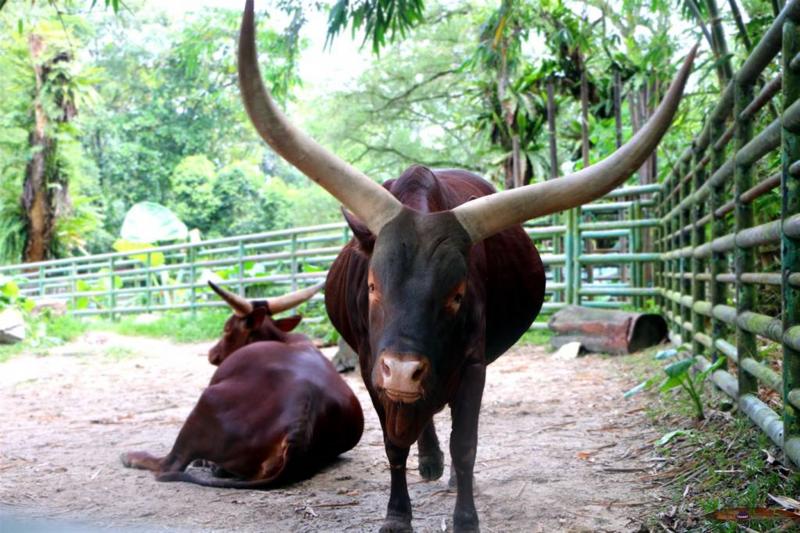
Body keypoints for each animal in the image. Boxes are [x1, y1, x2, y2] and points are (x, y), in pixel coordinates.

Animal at [120, 282, 364, 486]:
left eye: (227, 328)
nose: (212, 353)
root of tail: (301, 418)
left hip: (207, 400)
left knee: (170, 464)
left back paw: (133, 457)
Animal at [236, 1, 692, 528]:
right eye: (372, 286)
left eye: (456, 295)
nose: (403, 371)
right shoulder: (371, 367)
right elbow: (393, 444)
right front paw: (397, 514)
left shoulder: (473, 363)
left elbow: (466, 442)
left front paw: (465, 516)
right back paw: (428, 460)